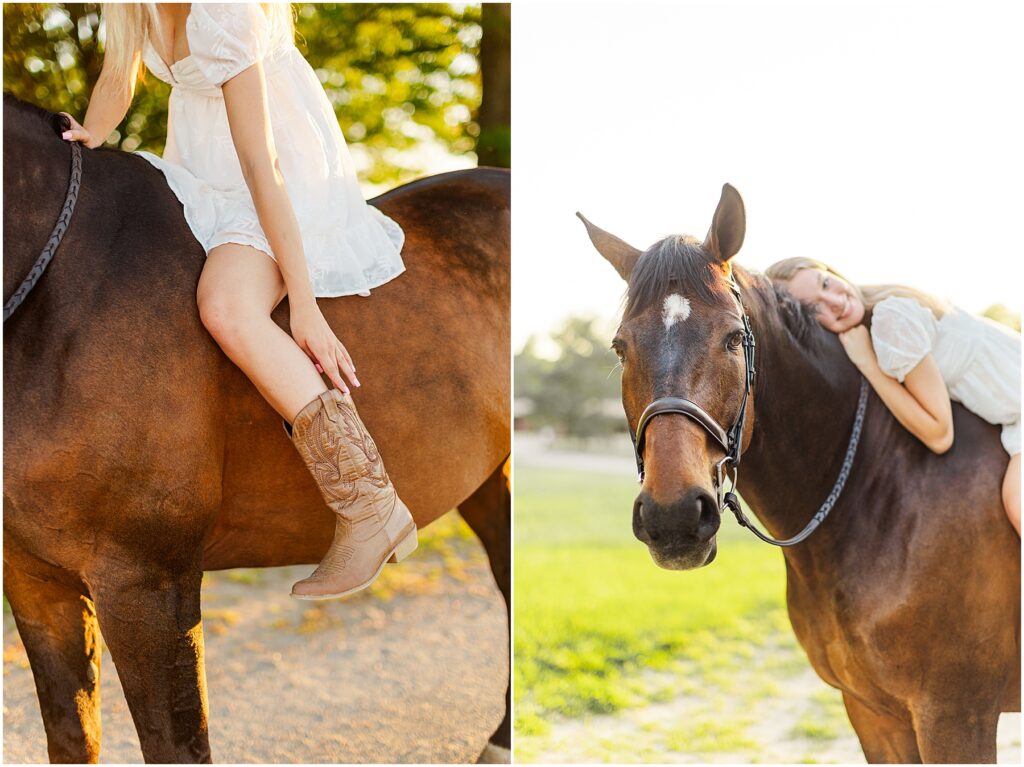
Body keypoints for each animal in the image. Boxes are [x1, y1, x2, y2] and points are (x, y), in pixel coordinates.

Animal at [581, 184, 1019, 761]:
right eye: (620, 347)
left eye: (732, 338)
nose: (673, 518)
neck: (882, 491)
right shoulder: (873, 713)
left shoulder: (956, 716)